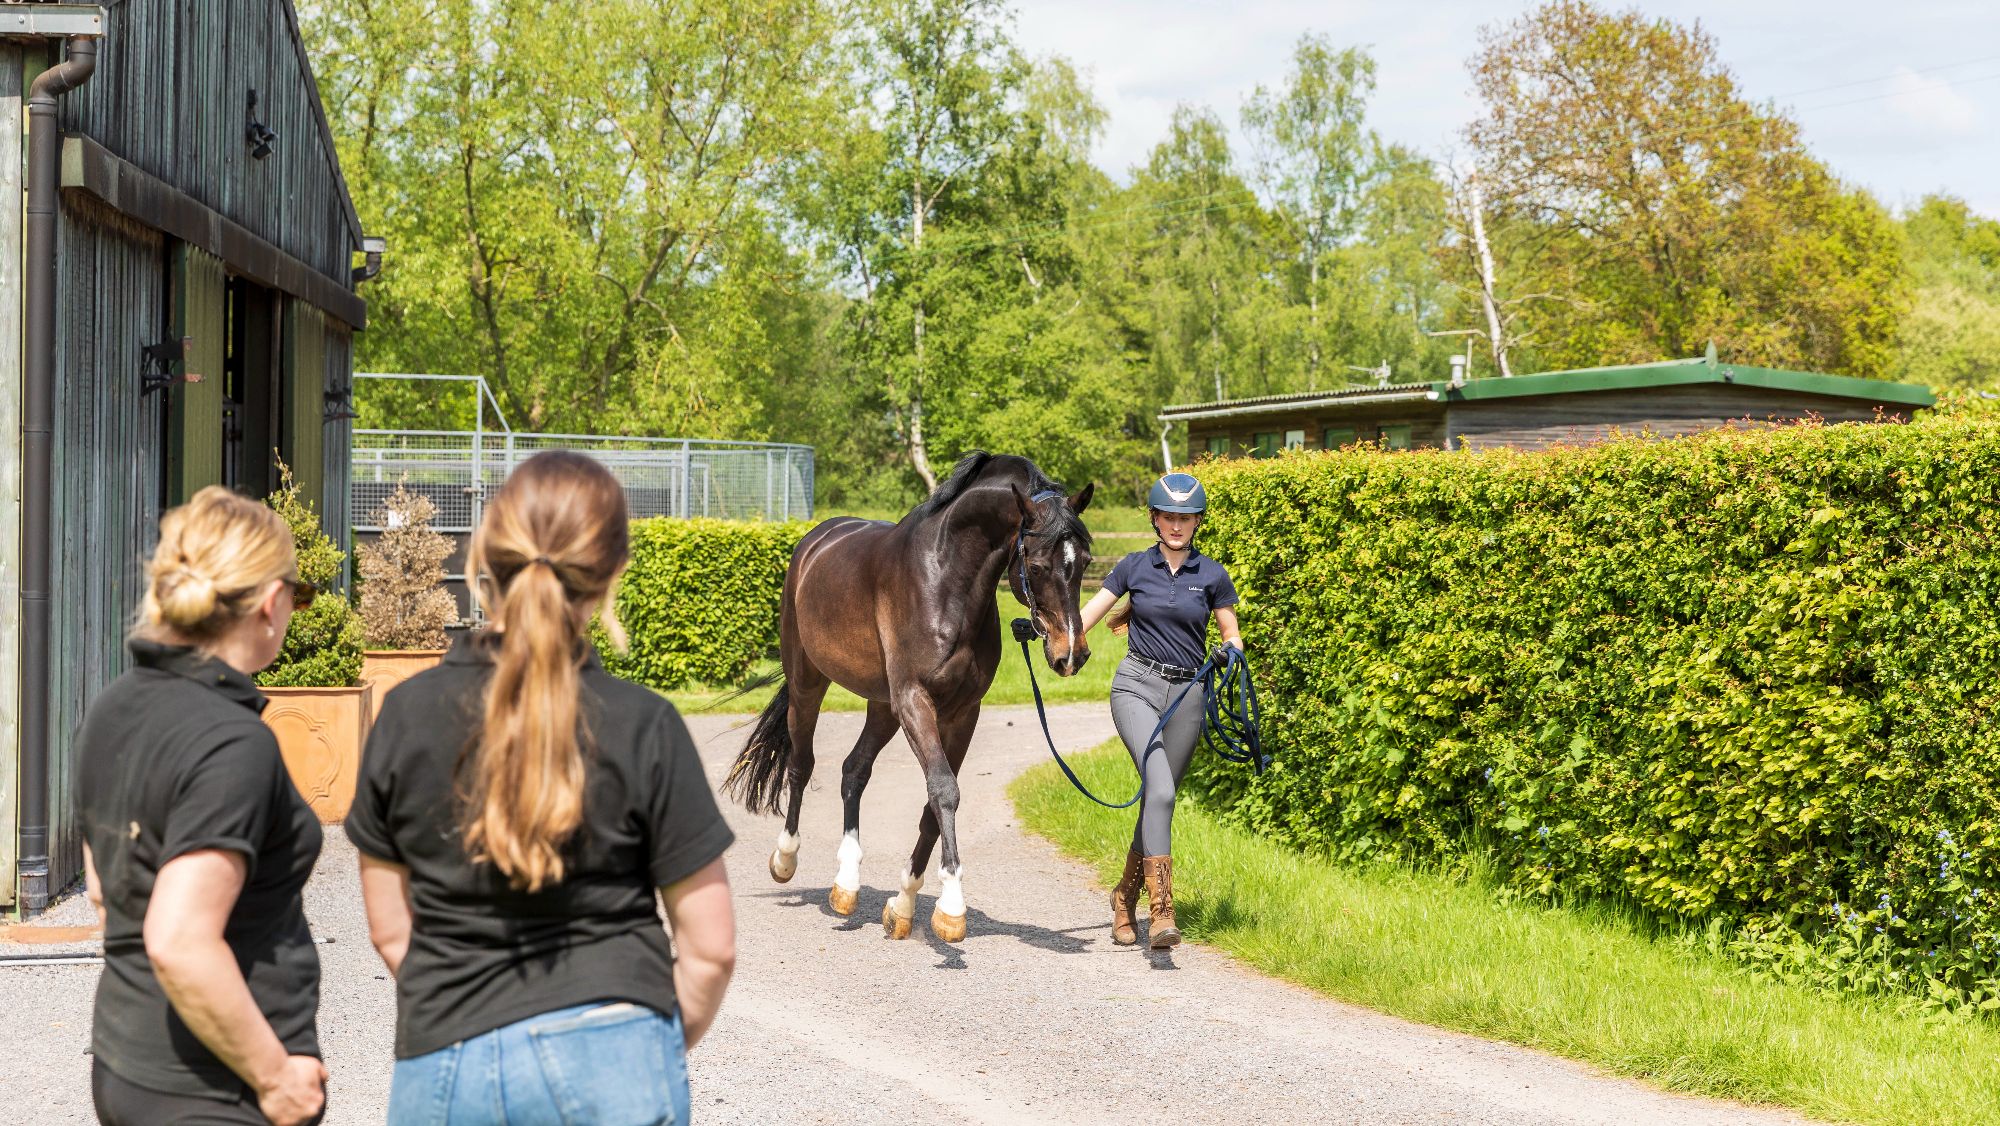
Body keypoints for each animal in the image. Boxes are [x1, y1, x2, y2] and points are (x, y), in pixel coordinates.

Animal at [722, 452, 1094, 942]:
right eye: (1035, 566)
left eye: (1085, 561)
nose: (1071, 654)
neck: (945, 582)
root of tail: (814, 542)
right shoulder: (916, 701)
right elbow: (944, 790)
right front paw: (952, 907)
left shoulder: (962, 713)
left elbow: (934, 803)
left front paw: (903, 906)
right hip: (810, 683)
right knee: (802, 765)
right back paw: (785, 859)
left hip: (883, 706)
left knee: (854, 770)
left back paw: (846, 886)